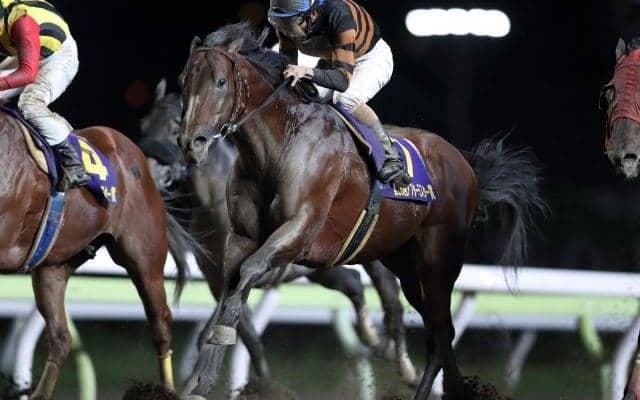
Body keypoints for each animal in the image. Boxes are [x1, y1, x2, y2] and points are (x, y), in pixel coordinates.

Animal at [137, 78, 419, 388]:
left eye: (175, 126)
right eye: (145, 124)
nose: (147, 172)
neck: (215, 206)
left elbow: (216, 334)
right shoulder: (218, 280)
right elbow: (247, 338)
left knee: (388, 291)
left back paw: (404, 363)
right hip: (322, 267)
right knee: (354, 283)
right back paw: (375, 338)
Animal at [177, 23, 545, 399]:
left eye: (221, 82)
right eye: (183, 81)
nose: (192, 143)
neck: (279, 144)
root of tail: (464, 163)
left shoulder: (300, 230)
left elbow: (248, 273)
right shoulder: (240, 238)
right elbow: (230, 290)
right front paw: (202, 381)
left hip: (439, 259)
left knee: (440, 332)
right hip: (404, 262)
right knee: (438, 331)